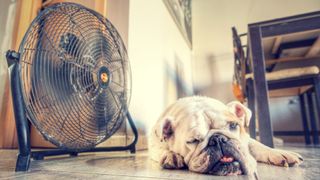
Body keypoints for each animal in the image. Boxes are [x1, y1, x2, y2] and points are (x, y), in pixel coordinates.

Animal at [150, 96, 302, 176]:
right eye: (193, 140)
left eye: (233, 125)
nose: (218, 139)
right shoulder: (155, 143)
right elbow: (160, 150)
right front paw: (171, 155)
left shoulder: (247, 140)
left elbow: (257, 145)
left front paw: (279, 153)